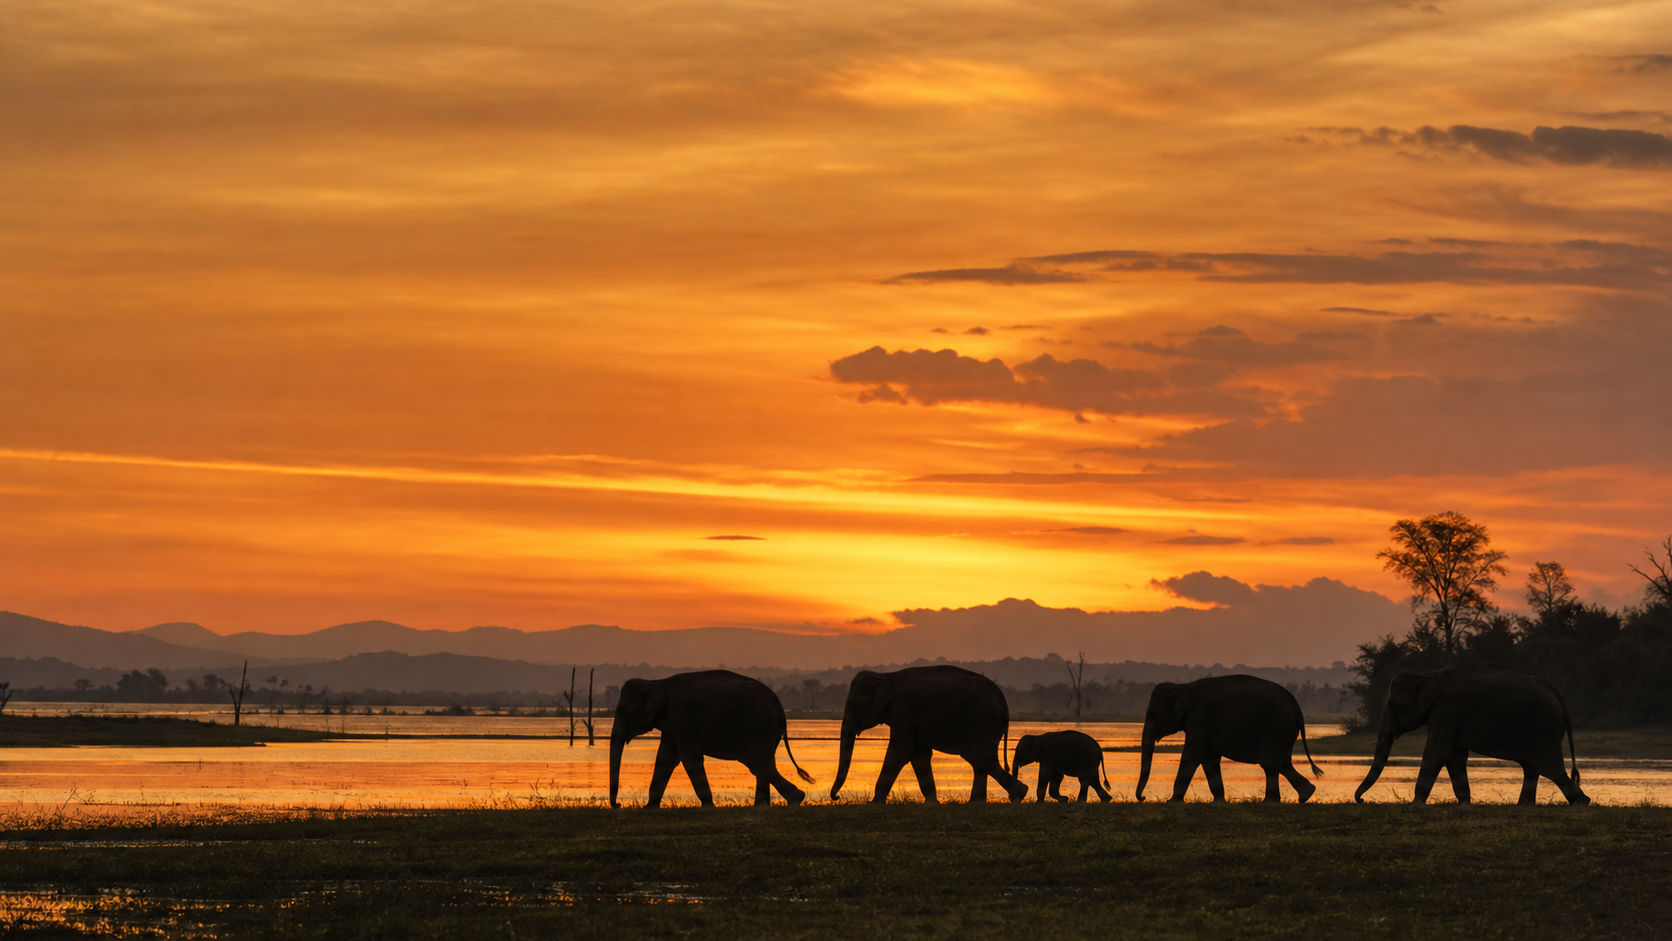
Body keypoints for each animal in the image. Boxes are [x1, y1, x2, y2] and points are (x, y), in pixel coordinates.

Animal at [608, 670, 813, 808]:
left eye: (621, 711)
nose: (618, 805)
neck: (657, 682)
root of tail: (778, 704)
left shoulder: (681, 718)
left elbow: (689, 758)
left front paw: (708, 806)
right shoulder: (673, 725)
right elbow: (665, 759)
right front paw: (649, 808)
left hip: (758, 725)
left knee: (758, 763)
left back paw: (797, 799)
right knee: (762, 763)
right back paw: (763, 806)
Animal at [831, 665, 1028, 804]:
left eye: (852, 705)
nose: (837, 797)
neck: (886, 675)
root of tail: (1002, 699)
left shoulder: (903, 711)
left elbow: (900, 751)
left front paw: (874, 803)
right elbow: (919, 754)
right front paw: (932, 803)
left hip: (982, 720)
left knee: (981, 758)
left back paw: (1019, 794)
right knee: (980, 761)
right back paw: (977, 802)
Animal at [1136, 674, 1321, 803]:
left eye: (1153, 714)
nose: (1144, 798)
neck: (1182, 686)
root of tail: (1296, 707)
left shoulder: (1199, 720)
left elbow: (1192, 755)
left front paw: (1172, 802)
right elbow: (1209, 759)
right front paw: (1218, 802)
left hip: (1276, 727)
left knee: (1270, 763)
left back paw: (1271, 801)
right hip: (1285, 731)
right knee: (1282, 762)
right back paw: (1306, 795)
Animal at [1354, 662, 1589, 805]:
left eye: (1393, 705)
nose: (1362, 800)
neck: (1429, 673)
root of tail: (1559, 698)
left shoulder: (1446, 709)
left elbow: (1436, 753)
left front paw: (1415, 804)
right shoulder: (1449, 716)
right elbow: (1455, 757)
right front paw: (1465, 803)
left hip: (1543, 727)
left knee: (1550, 767)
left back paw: (1582, 802)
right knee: (1531, 768)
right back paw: (1524, 805)